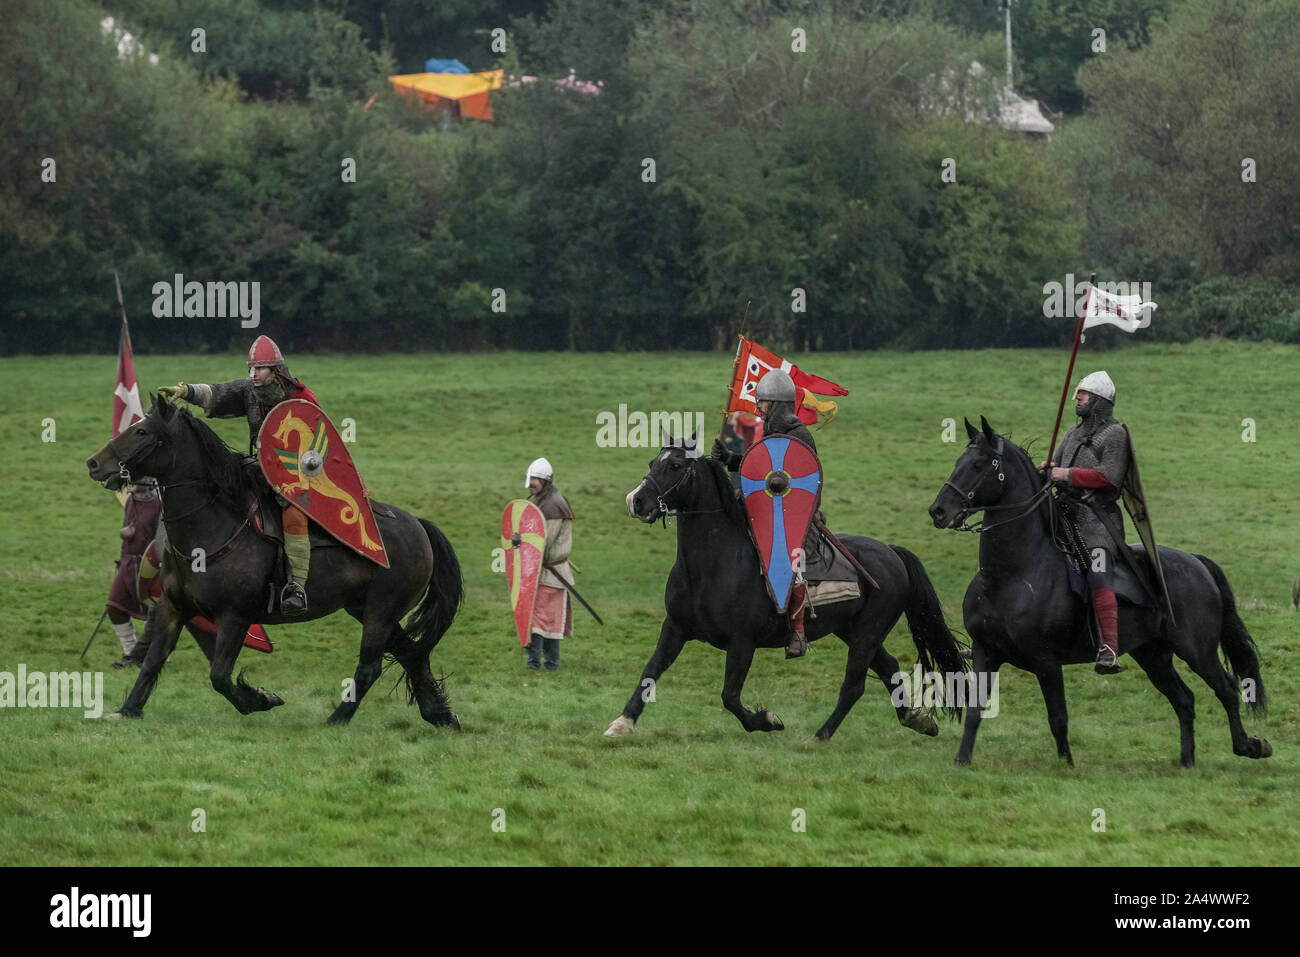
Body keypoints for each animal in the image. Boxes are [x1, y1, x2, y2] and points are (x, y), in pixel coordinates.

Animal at [608, 434, 967, 738]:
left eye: (675, 466)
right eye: (653, 462)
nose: (635, 501)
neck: (711, 566)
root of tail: (892, 552)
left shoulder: (742, 643)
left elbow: (730, 696)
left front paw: (767, 721)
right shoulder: (675, 628)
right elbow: (650, 672)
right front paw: (623, 722)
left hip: (868, 631)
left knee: (854, 685)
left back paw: (821, 735)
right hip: (852, 630)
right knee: (888, 666)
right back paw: (915, 720)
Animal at [930, 418, 1274, 769]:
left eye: (978, 464)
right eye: (958, 462)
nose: (938, 511)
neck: (1008, 575)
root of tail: (1197, 563)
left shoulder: (1046, 661)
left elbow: (1058, 717)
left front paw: (1067, 766)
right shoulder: (986, 652)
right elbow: (975, 711)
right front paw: (962, 760)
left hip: (1197, 651)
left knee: (1227, 689)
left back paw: (1249, 746)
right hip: (1153, 655)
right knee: (1184, 700)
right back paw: (1187, 761)